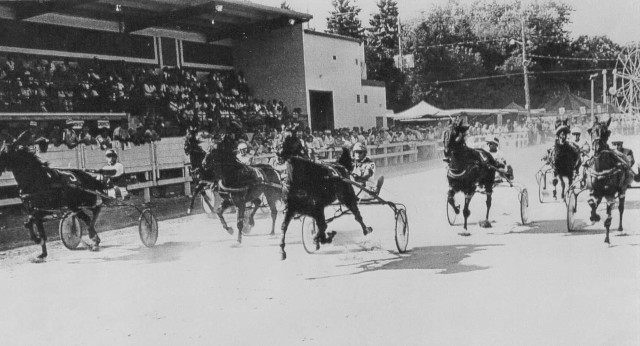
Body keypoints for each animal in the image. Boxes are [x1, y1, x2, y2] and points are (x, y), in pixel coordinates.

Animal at [0, 132, 105, 262]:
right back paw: (95, 240)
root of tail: (85, 175)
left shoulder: (42, 210)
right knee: (86, 217)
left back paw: (92, 235)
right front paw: (42, 252)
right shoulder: (34, 210)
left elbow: (31, 223)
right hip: (74, 205)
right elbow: (31, 225)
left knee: (96, 209)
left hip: (85, 200)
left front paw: (37, 240)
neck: (36, 180)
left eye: (4, 152)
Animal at [584, 117, 636, 245]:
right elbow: (591, 203)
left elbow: (608, 217)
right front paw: (594, 217)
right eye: (591, 131)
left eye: (606, 132)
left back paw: (620, 228)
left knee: (621, 208)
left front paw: (607, 238)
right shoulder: (594, 192)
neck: (601, 168)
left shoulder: (610, 195)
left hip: (622, 190)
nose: (597, 148)